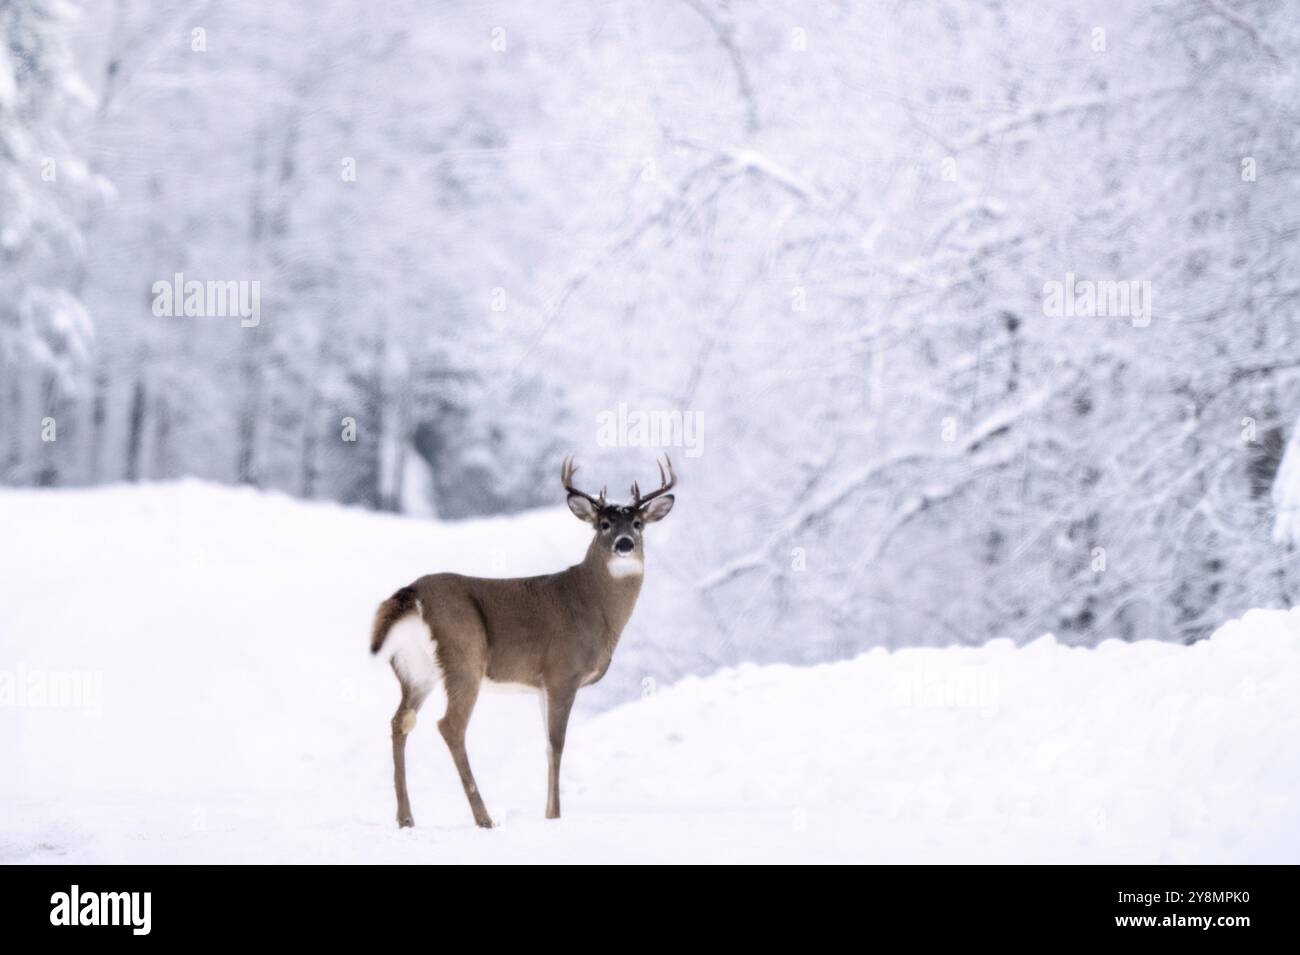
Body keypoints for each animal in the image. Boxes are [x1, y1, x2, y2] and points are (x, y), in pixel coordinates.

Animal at [369, 454, 676, 829]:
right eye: (603, 524)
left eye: (638, 523)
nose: (624, 544)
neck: (593, 604)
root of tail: (411, 594)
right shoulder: (562, 672)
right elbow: (557, 743)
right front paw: (555, 816)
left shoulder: (542, 685)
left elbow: (546, 745)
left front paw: (548, 814)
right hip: (463, 655)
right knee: (450, 725)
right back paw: (484, 818)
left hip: (415, 669)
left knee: (400, 721)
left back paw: (406, 818)